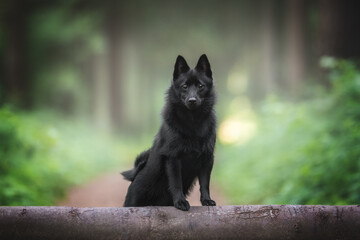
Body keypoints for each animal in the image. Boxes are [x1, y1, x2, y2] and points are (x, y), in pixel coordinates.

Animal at [122, 54, 215, 210]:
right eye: (184, 86)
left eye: (200, 86)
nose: (192, 100)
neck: (193, 121)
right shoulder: (173, 158)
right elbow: (176, 183)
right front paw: (180, 201)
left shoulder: (207, 158)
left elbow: (205, 183)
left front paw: (207, 200)